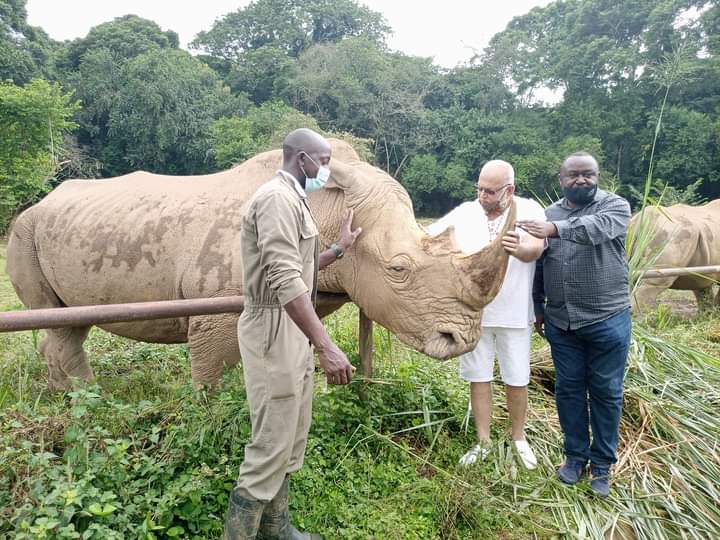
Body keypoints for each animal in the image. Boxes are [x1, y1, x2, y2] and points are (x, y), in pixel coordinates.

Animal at [5, 141, 512, 390]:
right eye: (398, 269)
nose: (463, 340)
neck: (329, 205)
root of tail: (41, 203)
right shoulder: (218, 311)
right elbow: (214, 375)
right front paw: (210, 421)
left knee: (69, 324)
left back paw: (71, 399)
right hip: (23, 231)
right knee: (58, 320)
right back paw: (85, 402)